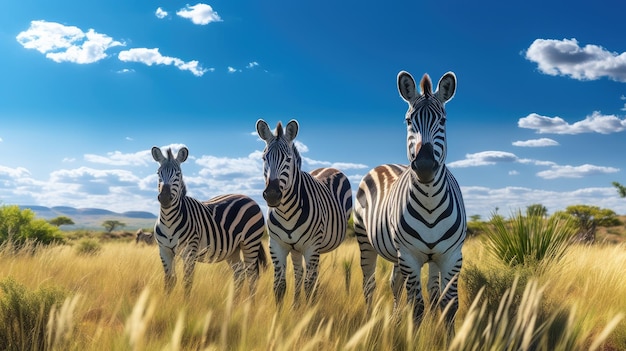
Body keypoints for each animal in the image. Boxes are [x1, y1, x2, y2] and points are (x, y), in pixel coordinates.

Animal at [154, 146, 268, 296]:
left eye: (178, 174)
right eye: (158, 173)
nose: (165, 198)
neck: (168, 222)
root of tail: (250, 198)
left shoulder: (190, 251)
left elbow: (187, 282)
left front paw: (185, 302)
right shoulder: (164, 251)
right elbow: (169, 281)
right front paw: (166, 301)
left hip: (250, 242)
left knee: (252, 275)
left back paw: (249, 302)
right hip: (233, 249)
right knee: (239, 273)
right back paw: (235, 302)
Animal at [254, 120, 352, 306]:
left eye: (288, 159)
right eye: (264, 158)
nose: (272, 195)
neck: (286, 212)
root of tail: (328, 167)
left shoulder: (311, 246)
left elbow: (309, 286)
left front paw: (310, 312)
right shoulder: (276, 245)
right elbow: (279, 286)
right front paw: (286, 313)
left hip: (315, 246)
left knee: (311, 278)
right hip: (296, 249)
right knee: (299, 275)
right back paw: (296, 305)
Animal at [352, 70, 464, 328]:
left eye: (443, 121)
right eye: (409, 120)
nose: (424, 167)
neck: (430, 202)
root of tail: (383, 165)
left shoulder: (452, 257)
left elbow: (448, 305)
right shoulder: (410, 257)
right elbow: (417, 307)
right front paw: (417, 332)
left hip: (403, 255)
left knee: (398, 284)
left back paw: (394, 318)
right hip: (366, 241)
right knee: (369, 284)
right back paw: (370, 320)